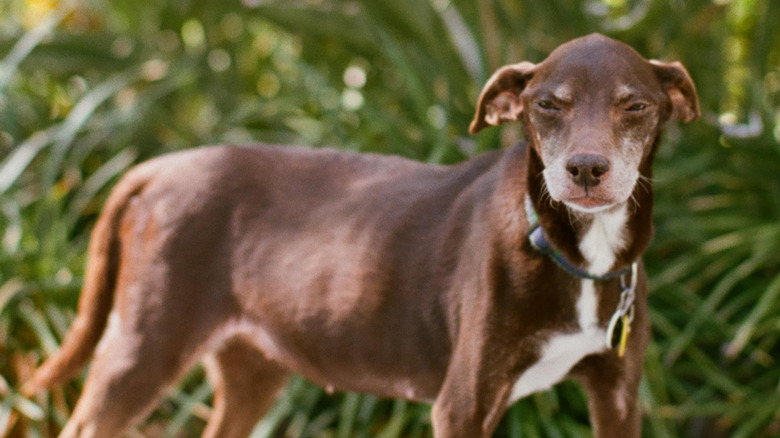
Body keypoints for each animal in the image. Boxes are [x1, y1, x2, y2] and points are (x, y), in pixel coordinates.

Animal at [24, 35, 696, 438]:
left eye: (635, 106)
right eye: (548, 105)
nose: (585, 169)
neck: (573, 250)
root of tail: (160, 166)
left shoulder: (617, 396)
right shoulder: (463, 403)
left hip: (251, 370)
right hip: (143, 348)